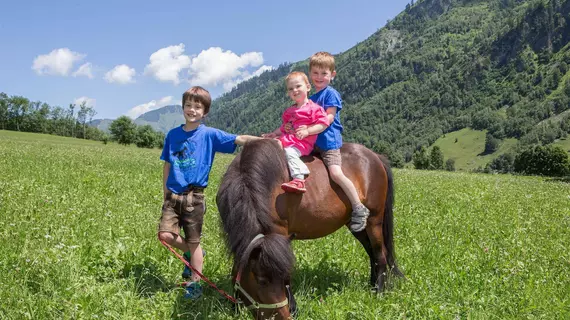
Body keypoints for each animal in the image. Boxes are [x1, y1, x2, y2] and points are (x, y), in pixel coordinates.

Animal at [216, 139, 400, 318]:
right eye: (261, 280)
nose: (282, 316)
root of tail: (376, 157)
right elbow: (237, 268)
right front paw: (235, 307)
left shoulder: (279, 233)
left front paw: (293, 308)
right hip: (358, 226)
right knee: (372, 253)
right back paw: (372, 285)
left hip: (374, 220)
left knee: (380, 254)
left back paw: (379, 292)